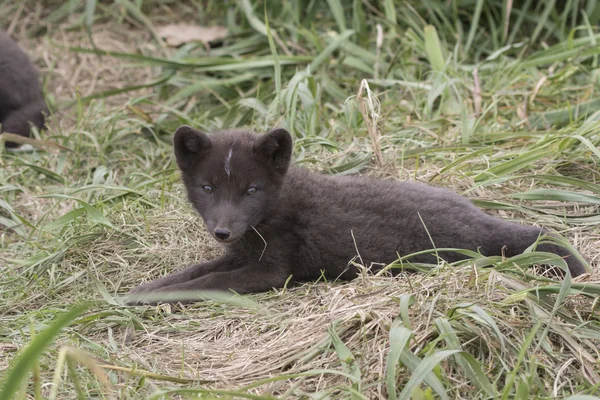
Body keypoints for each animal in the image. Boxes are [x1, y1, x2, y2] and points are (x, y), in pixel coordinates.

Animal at [125, 126, 584, 304]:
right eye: (207, 189)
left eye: (251, 190)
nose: (222, 230)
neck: (276, 207)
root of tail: (477, 217)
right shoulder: (238, 252)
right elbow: (192, 271)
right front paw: (139, 290)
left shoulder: (270, 270)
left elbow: (206, 282)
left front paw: (150, 297)